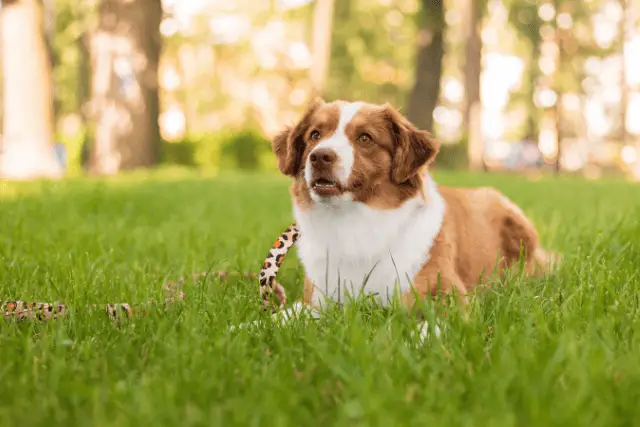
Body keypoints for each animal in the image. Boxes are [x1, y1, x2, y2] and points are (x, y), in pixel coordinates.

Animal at [264, 99, 556, 334]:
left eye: (365, 138)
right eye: (315, 135)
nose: (320, 156)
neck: (353, 222)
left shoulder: (448, 293)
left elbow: (432, 325)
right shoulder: (315, 300)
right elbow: (277, 318)